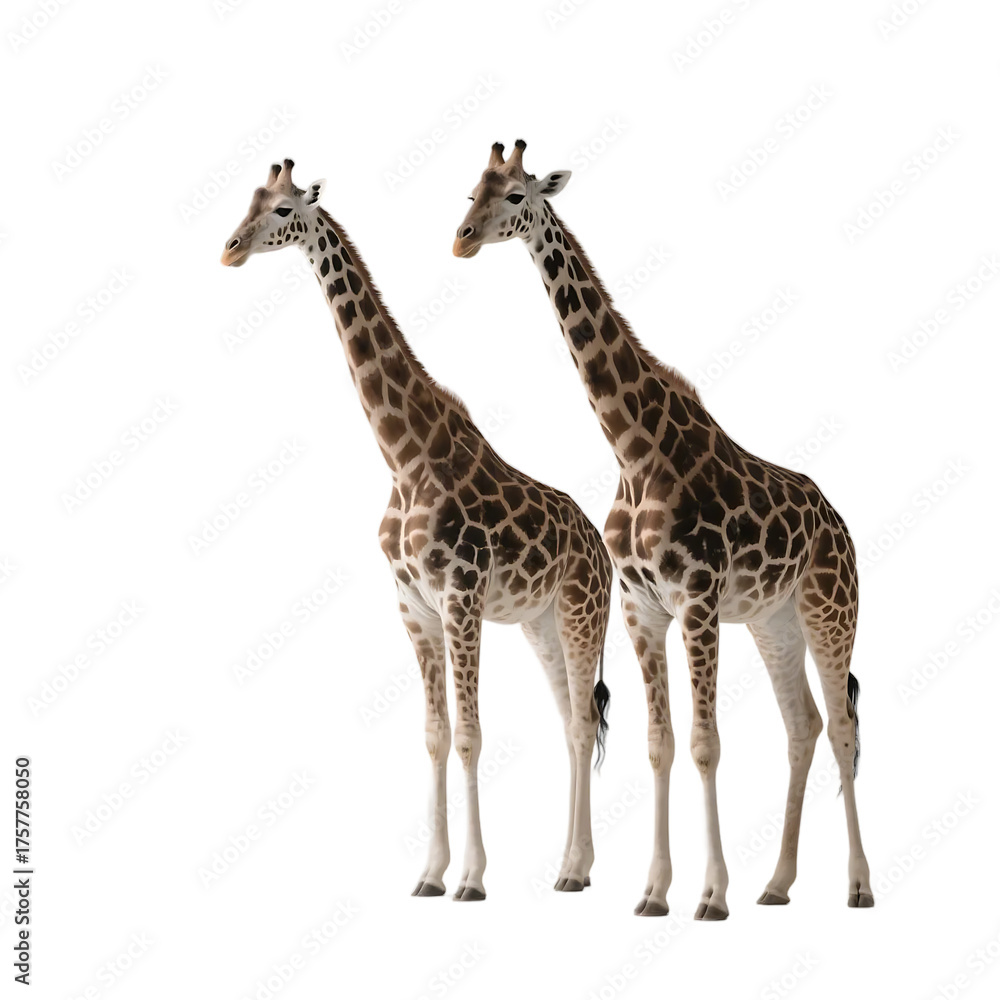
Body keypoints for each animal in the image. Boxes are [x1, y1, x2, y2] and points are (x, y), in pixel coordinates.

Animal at [221, 159, 613, 901]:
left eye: (282, 209)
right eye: (248, 201)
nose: (229, 250)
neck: (404, 458)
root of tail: (601, 548)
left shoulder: (461, 598)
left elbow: (470, 735)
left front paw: (473, 878)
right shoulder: (413, 607)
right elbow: (434, 735)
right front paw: (431, 873)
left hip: (584, 615)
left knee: (582, 723)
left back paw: (576, 870)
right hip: (541, 622)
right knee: (569, 723)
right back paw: (571, 866)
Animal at [452, 140, 873, 918]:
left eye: (518, 195)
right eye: (472, 192)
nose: (462, 239)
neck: (633, 449)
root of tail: (841, 524)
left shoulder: (698, 601)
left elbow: (706, 743)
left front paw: (710, 895)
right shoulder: (643, 608)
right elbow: (660, 743)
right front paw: (654, 890)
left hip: (831, 612)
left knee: (841, 725)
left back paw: (858, 886)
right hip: (774, 620)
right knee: (801, 726)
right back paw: (777, 885)